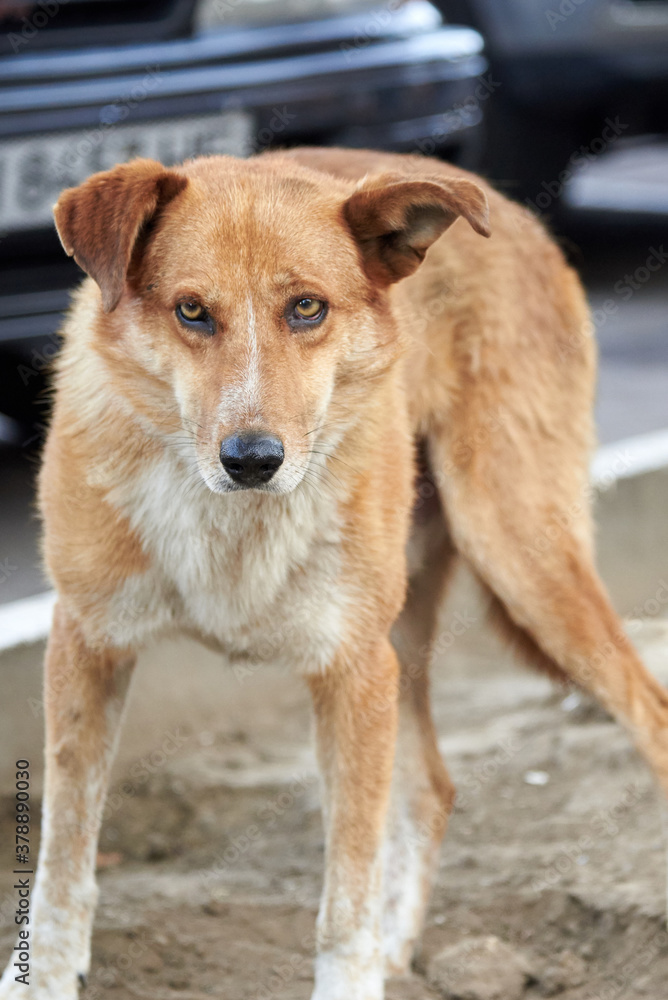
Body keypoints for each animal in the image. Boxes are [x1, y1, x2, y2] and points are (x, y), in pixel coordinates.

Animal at [2, 143, 664, 1000]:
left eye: (308, 308)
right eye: (192, 311)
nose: (253, 459)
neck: (232, 522)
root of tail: (517, 215)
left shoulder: (351, 670)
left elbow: (344, 898)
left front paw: (354, 973)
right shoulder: (88, 643)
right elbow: (62, 861)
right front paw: (41, 979)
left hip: (523, 558)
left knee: (649, 716)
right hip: (410, 637)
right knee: (431, 788)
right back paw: (398, 957)